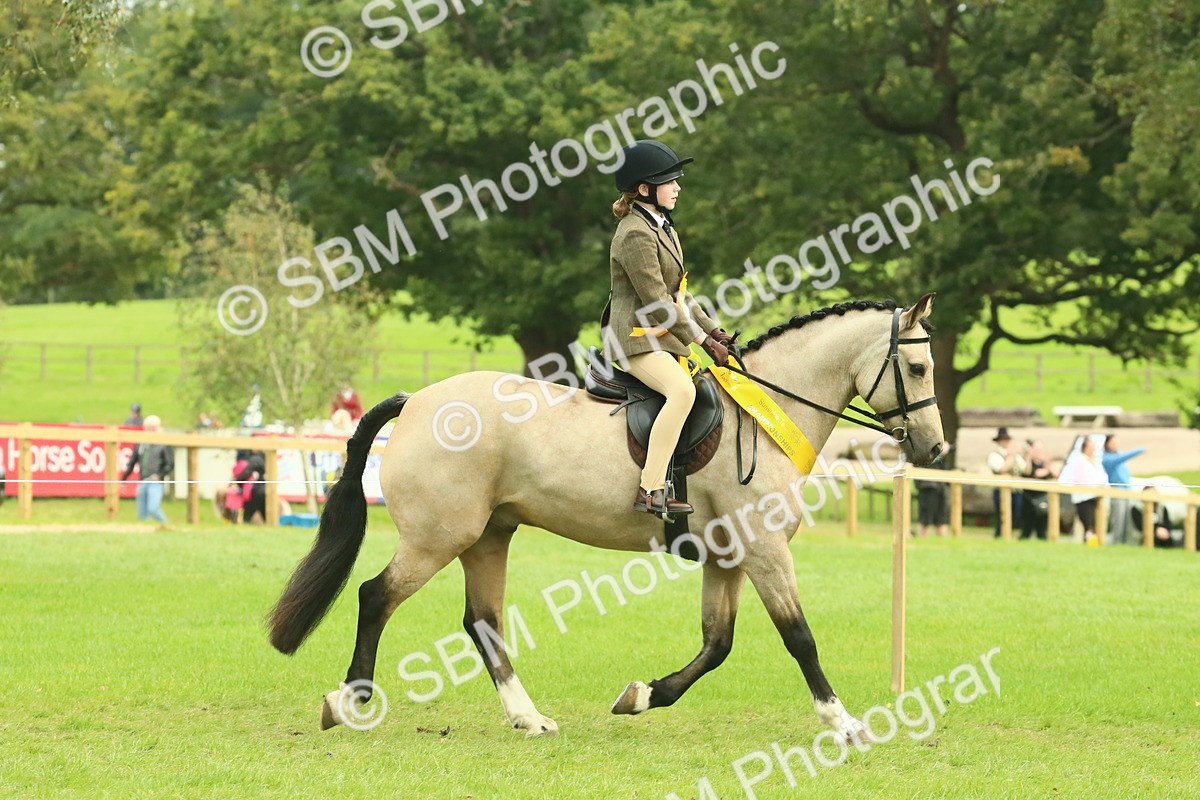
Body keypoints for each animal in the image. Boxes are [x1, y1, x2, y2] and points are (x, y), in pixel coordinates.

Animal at [268, 295, 945, 743]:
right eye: (916, 368)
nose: (935, 449)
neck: (765, 412)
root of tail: (417, 402)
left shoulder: (730, 558)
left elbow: (717, 644)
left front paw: (642, 696)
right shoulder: (764, 550)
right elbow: (799, 637)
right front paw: (843, 721)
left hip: (488, 536)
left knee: (482, 622)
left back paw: (527, 717)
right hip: (439, 537)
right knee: (375, 596)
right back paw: (350, 702)